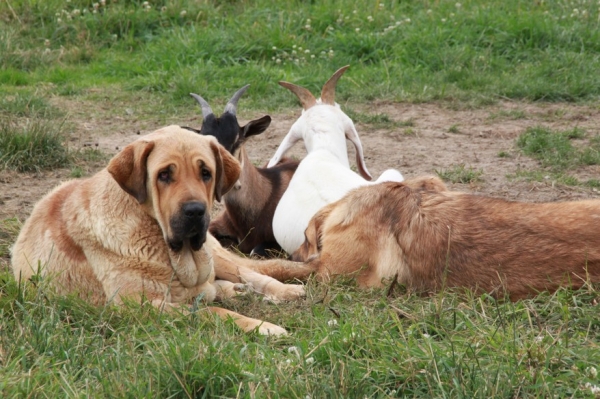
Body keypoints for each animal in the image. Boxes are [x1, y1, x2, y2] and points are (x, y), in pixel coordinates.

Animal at [12, 126, 310, 336]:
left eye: (206, 173)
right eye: (164, 175)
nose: (195, 211)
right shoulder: (141, 305)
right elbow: (212, 311)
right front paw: (261, 326)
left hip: (216, 255)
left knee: (254, 271)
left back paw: (285, 289)